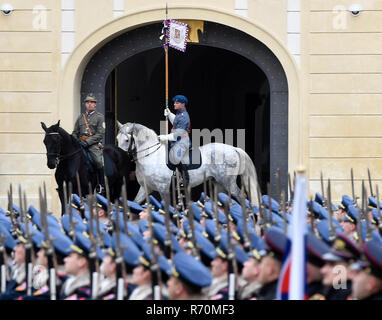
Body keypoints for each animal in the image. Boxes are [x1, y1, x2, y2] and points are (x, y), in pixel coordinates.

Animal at [116, 121, 260, 206]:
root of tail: (233, 148)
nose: (120, 158)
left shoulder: (163, 189)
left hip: (228, 182)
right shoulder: (145, 188)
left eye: (127, 140)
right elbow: (135, 202)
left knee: (241, 197)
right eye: (117, 138)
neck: (151, 156)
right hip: (218, 184)